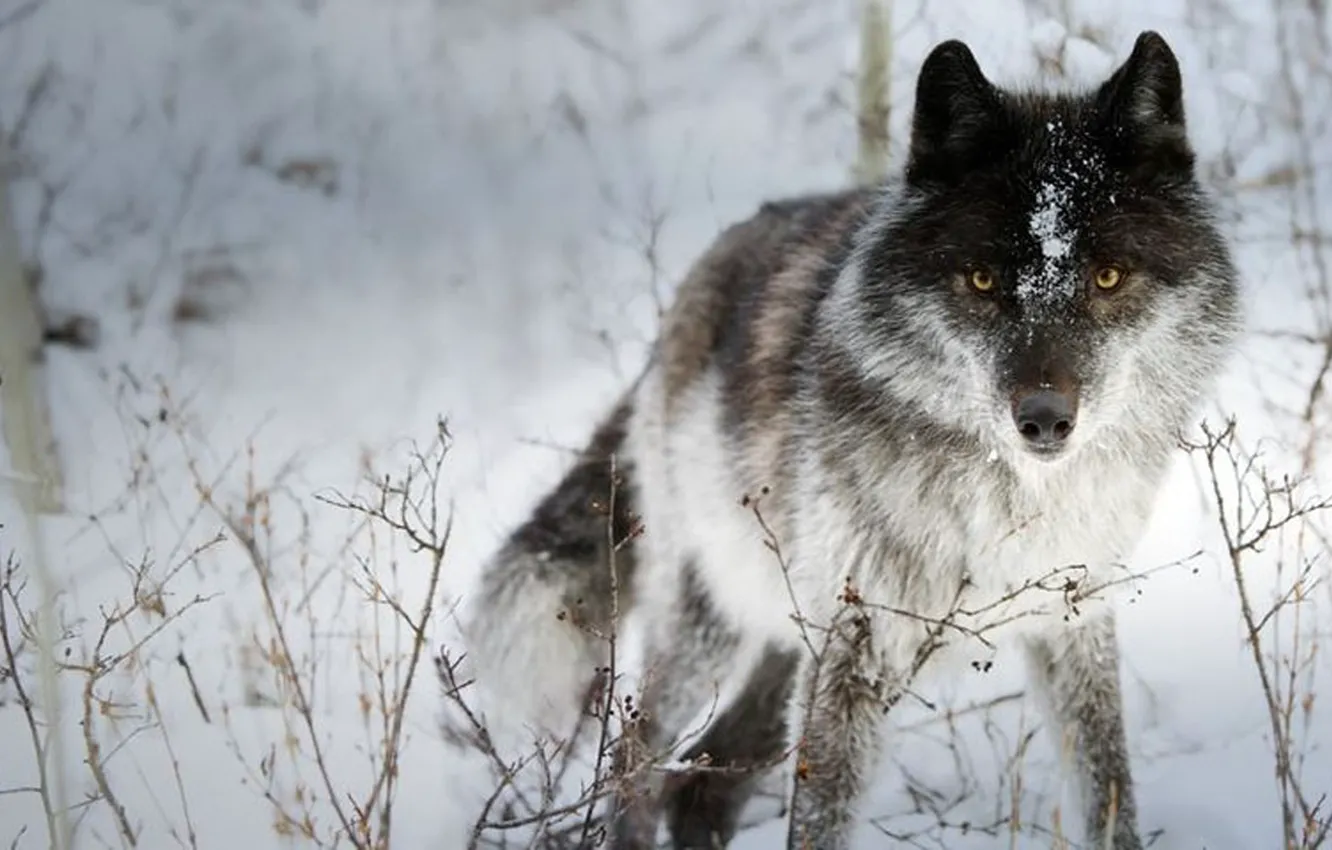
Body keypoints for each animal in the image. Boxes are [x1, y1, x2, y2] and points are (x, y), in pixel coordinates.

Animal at [459, 30, 1242, 850]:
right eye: (983, 281)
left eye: (1109, 277)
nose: (1045, 418)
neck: (1001, 500)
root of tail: (693, 286)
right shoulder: (854, 650)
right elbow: (817, 820)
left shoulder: (1075, 624)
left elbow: (1109, 793)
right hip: (709, 619)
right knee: (636, 759)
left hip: (783, 630)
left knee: (703, 780)